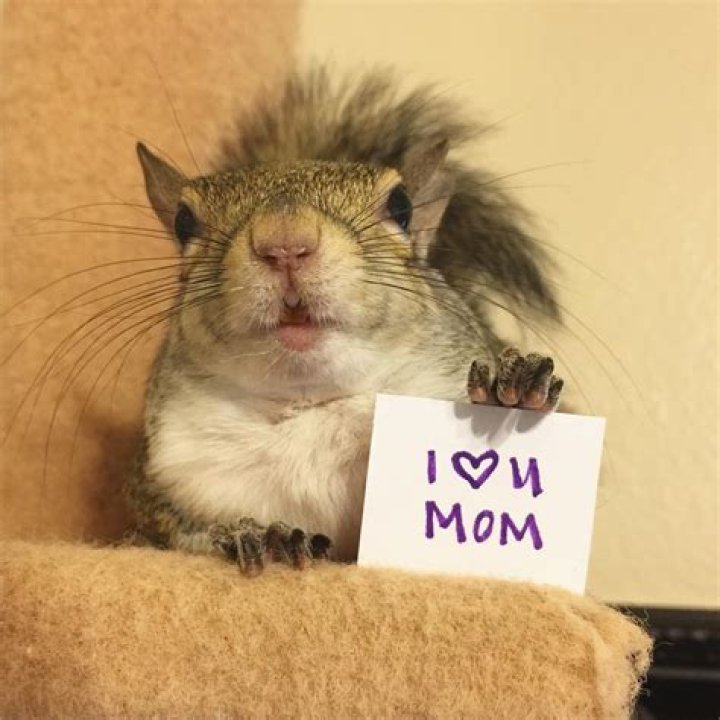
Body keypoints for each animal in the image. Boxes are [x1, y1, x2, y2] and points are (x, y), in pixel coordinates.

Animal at [127, 68, 564, 573]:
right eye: (183, 222)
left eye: (401, 206)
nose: (284, 242)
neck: (310, 400)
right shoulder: (162, 487)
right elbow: (175, 537)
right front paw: (252, 533)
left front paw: (510, 388)